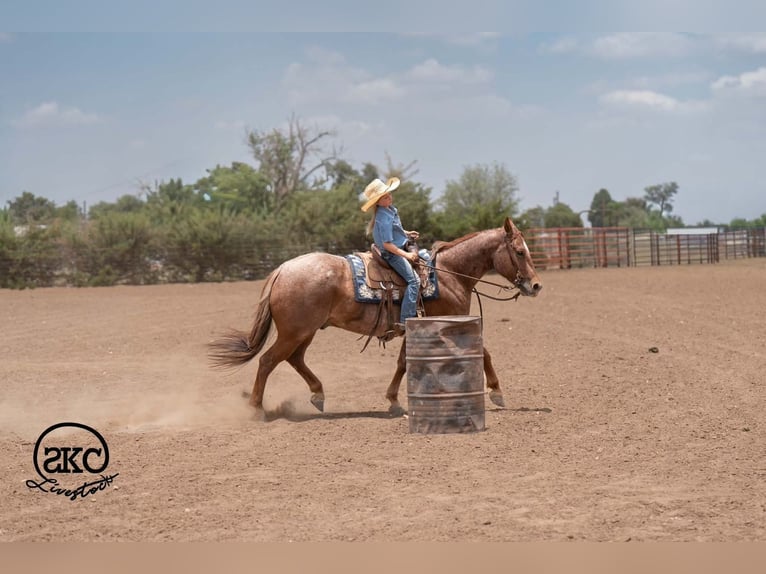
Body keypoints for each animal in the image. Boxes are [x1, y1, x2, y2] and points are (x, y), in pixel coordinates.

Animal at [208, 217, 542, 418]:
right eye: (519, 251)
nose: (536, 285)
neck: (447, 274)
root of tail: (282, 269)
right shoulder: (449, 320)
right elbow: (483, 351)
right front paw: (497, 392)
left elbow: (403, 362)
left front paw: (394, 401)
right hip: (294, 331)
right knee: (268, 361)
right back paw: (255, 409)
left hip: (305, 331)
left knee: (294, 359)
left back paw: (317, 395)